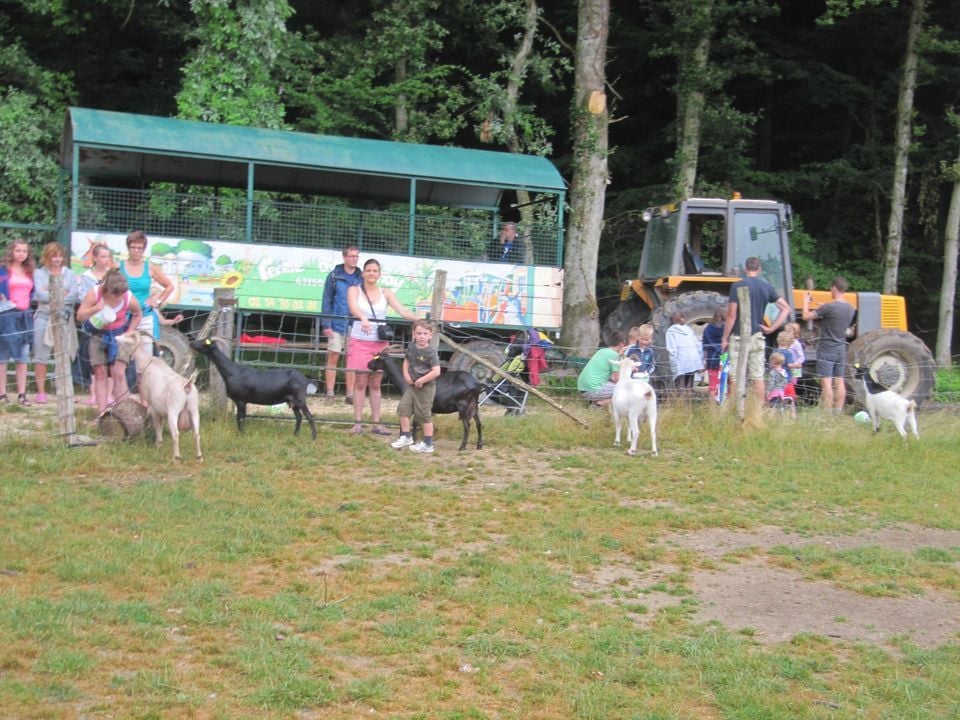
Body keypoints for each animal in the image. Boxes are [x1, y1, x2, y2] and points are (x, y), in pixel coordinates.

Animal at [118, 330, 204, 462]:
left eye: (130, 336)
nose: (116, 337)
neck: (146, 363)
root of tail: (187, 386)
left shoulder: (153, 408)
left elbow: (158, 427)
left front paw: (158, 447)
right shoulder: (162, 412)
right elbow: (161, 426)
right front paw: (159, 446)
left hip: (174, 411)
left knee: (176, 434)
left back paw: (176, 458)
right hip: (194, 410)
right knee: (197, 434)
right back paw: (199, 457)